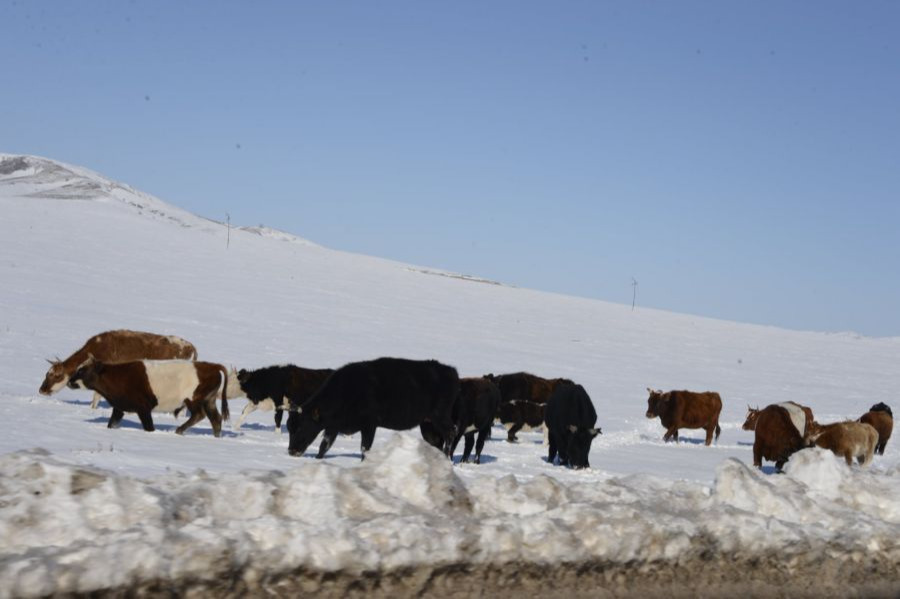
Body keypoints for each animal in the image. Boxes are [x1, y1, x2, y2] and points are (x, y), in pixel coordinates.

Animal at [71, 356, 232, 436]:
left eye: (82, 370)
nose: (70, 381)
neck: (117, 375)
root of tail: (211, 366)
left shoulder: (143, 409)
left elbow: (149, 427)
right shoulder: (119, 408)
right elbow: (111, 423)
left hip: (193, 400)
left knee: (199, 414)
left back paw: (179, 430)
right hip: (209, 400)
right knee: (216, 419)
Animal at [286, 358, 460, 462]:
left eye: (302, 426)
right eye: (290, 428)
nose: (291, 451)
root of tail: (451, 371)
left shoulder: (369, 425)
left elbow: (365, 448)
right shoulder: (333, 427)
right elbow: (325, 445)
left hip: (440, 416)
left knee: (451, 432)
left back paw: (447, 458)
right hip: (427, 423)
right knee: (437, 440)